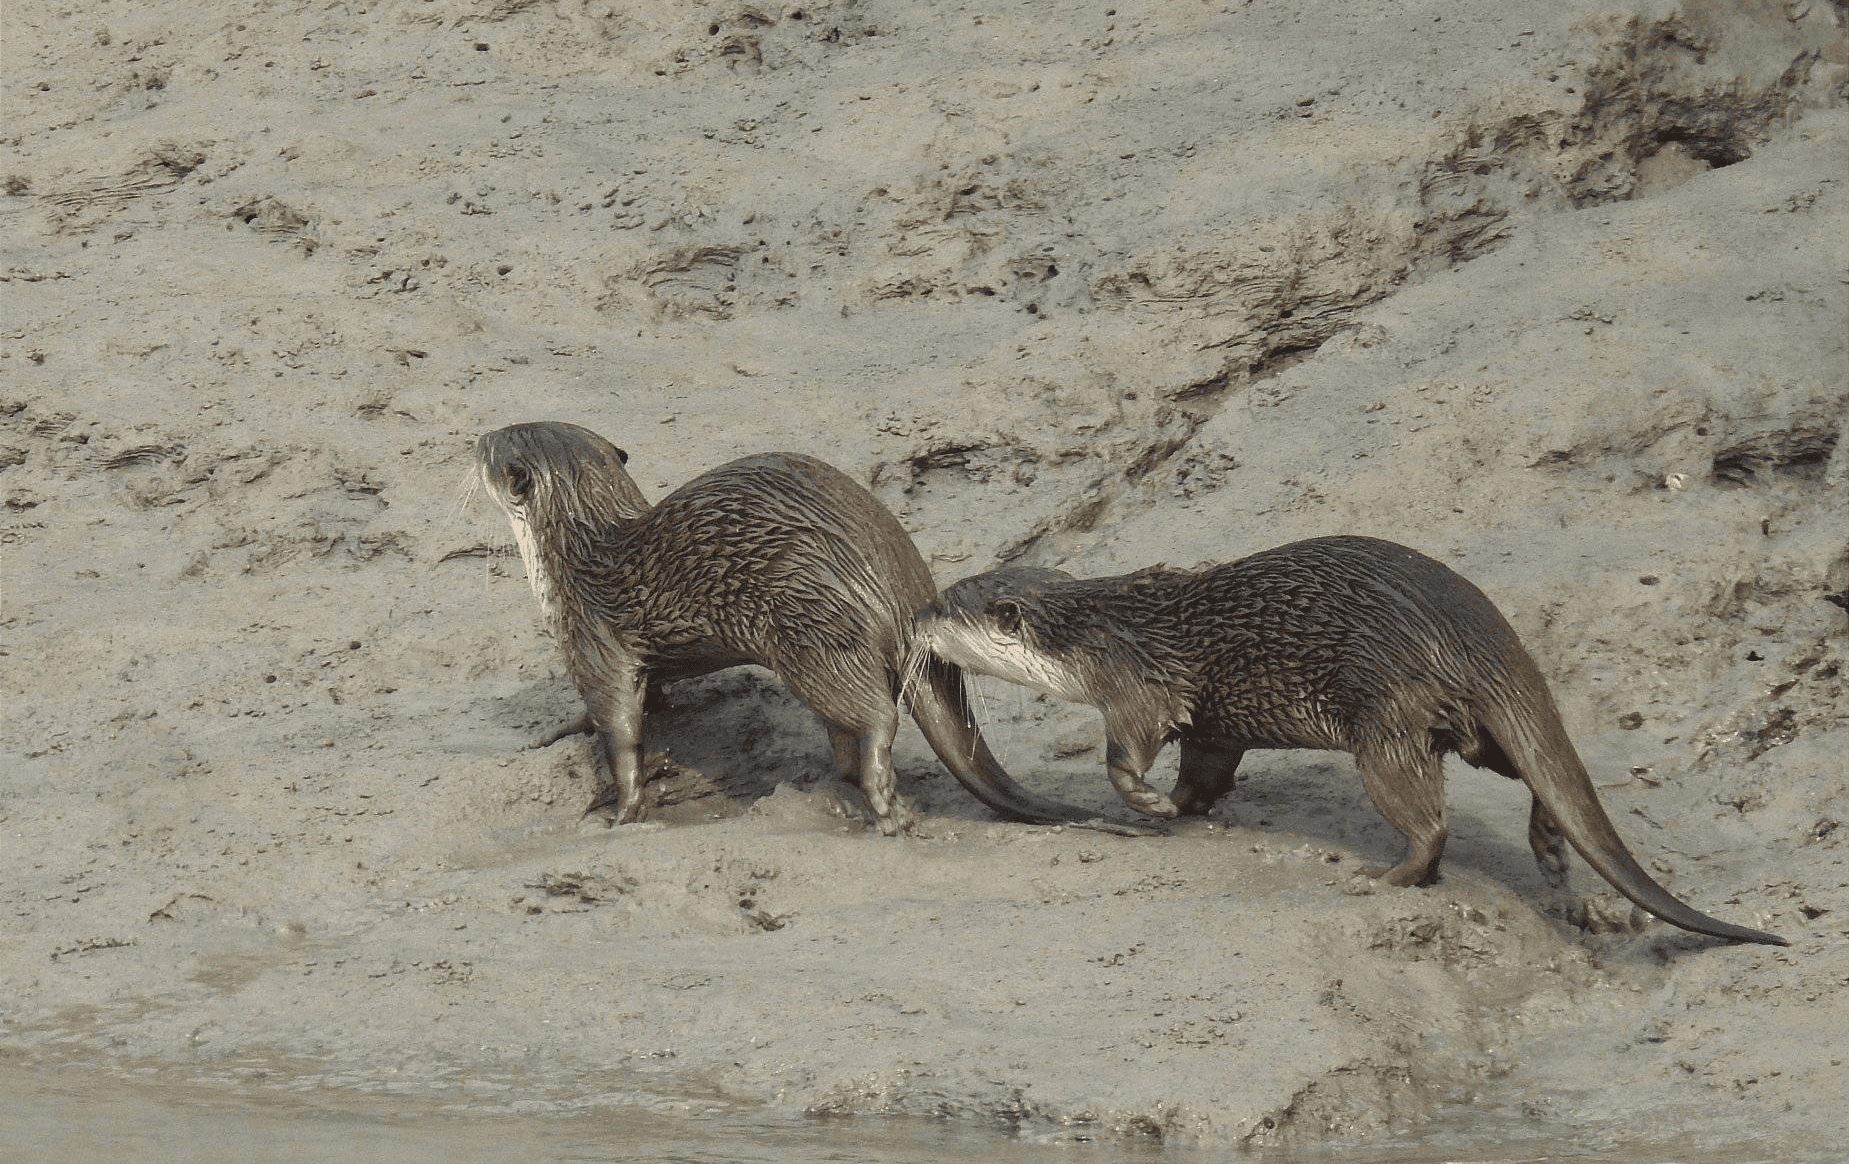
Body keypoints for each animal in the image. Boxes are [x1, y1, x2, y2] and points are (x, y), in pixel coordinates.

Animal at [473, 424, 1138, 835]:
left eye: (489, 447)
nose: (472, 436)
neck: (573, 555)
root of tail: (902, 588)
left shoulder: (592, 639)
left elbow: (619, 725)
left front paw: (622, 810)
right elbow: (644, 695)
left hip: (809, 629)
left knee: (877, 717)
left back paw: (883, 803)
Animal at [917, 539, 1782, 945]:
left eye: (942, 605)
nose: (917, 617)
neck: (1090, 629)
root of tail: (1481, 635)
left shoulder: (1135, 682)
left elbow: (1125, 753)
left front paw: (1148, 806)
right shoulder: (1213, 722)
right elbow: (1207, 765)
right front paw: (1188, 808)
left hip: (1386, 718)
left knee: (1427, 817)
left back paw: (1386, 876)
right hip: (1472, 727)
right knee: (1531, 769)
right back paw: (1546, 847)